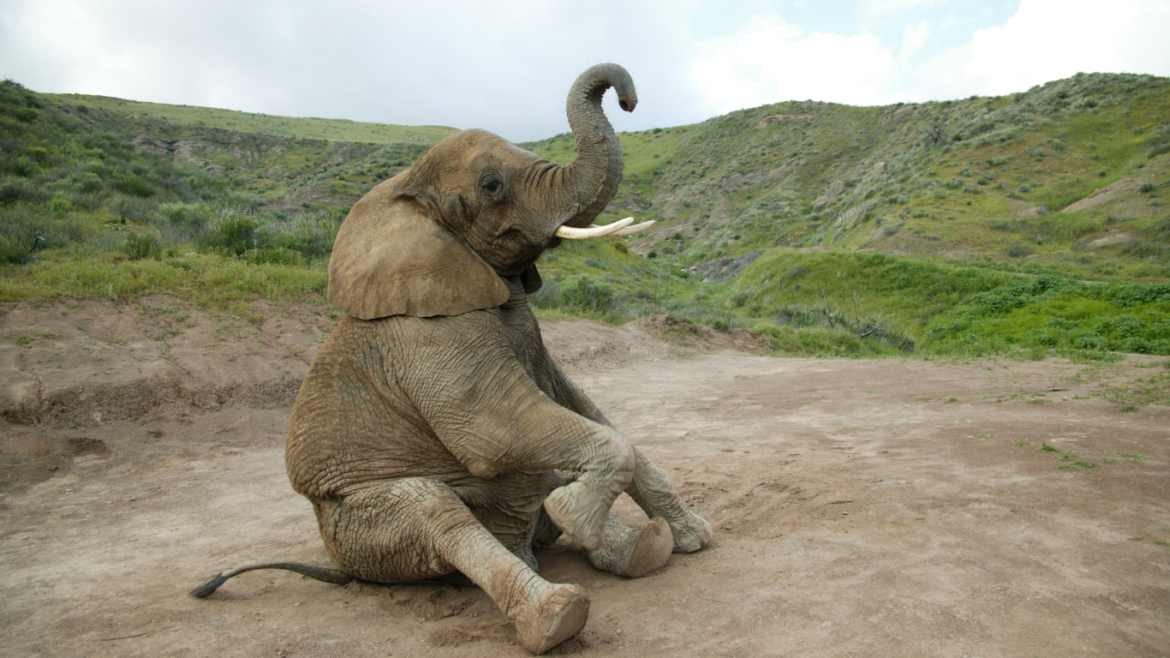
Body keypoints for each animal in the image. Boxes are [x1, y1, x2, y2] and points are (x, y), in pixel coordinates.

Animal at [190, 63, 712, 654]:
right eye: (492, 186)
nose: (627, 99)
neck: (404, 194)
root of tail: (341, 567)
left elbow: (584, 410)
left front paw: (693, 537)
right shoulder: (427, 336)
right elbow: (493, 431)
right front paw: (576, 516)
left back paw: (643, 548)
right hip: (362, 527)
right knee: (437, 512)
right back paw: (557, 612)